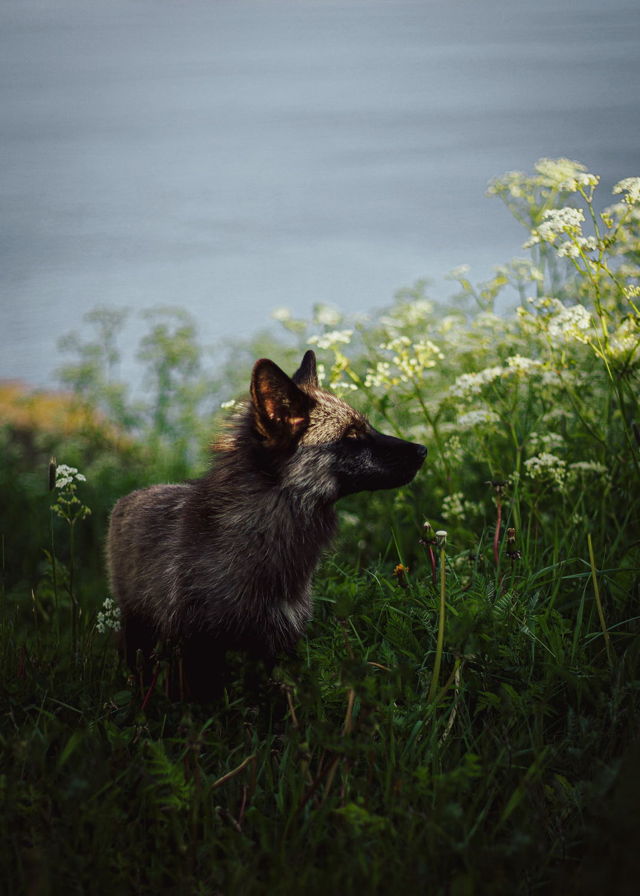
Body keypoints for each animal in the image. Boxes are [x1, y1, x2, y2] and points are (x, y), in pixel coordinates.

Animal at [106, 349, 426, 700]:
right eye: (352, 436)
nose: (423, 450)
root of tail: (128, 499)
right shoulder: (197, 653)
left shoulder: (273, 648)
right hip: (141, 637)